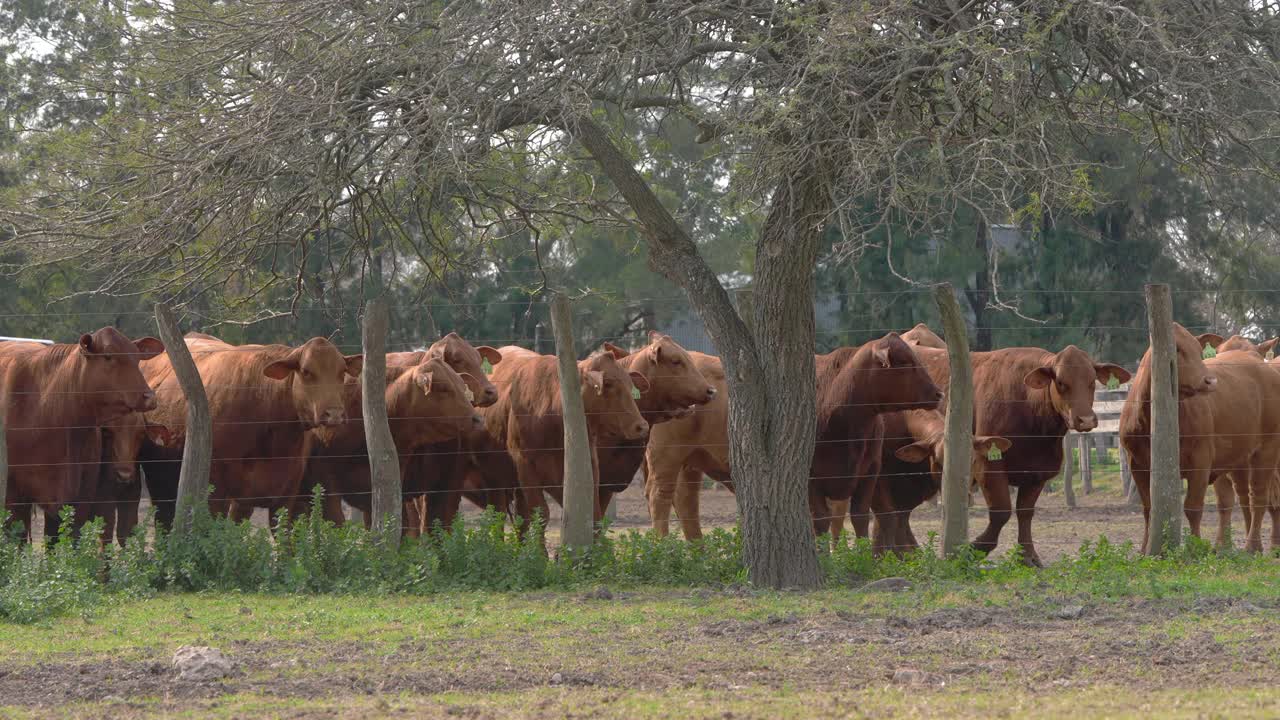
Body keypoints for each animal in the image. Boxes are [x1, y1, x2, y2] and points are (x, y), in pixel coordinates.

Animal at [473, 345, 650, 530]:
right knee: (499, 514)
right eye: (608, 384)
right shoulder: (525, 464)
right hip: (496, 479)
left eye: (631, 386)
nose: (642, 426)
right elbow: (541, 514)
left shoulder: (589, 464)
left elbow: (593, 516)